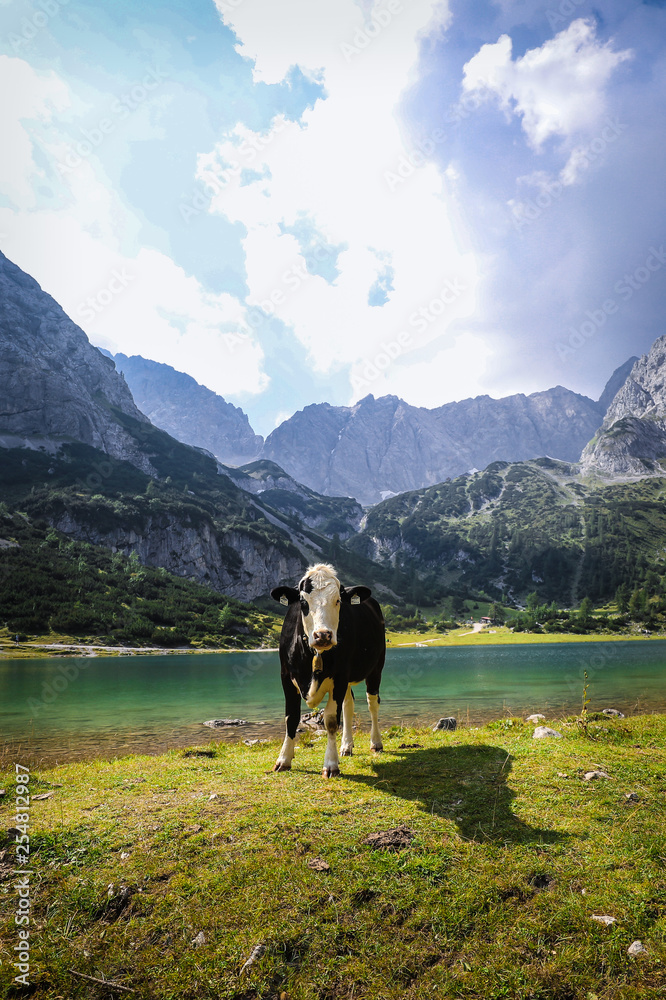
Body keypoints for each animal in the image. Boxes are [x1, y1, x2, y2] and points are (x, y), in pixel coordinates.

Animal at [268, 564, 384, 780]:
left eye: (338, 600)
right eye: (303, 601)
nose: (323, 635)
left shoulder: (339, 677)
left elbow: (330, 721)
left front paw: (330, 765)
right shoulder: (286, 677)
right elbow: (291, 717)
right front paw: (284, 759)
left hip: (376, 668)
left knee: (373, 704)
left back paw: (376, 743)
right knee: (349, 704)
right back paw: (347, 746)